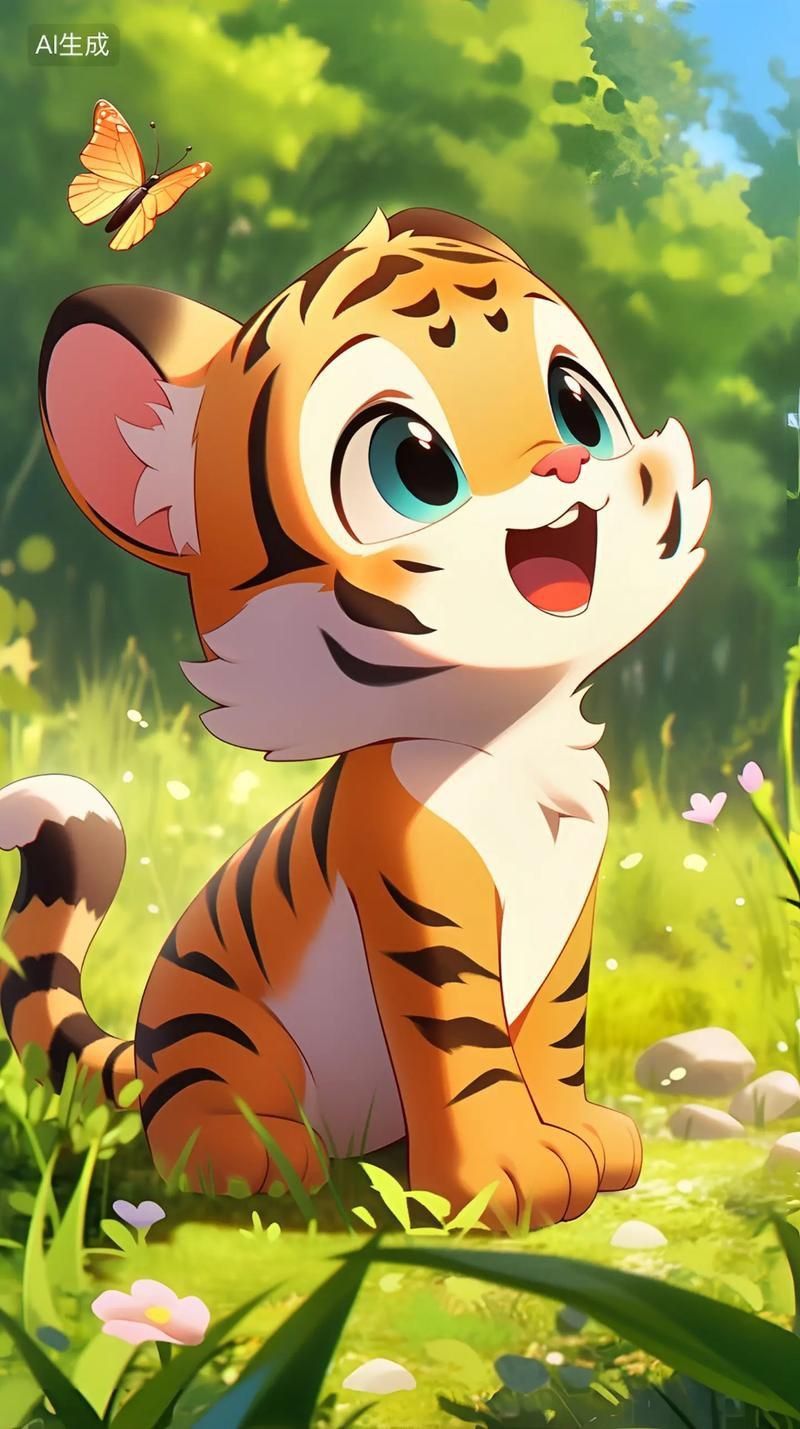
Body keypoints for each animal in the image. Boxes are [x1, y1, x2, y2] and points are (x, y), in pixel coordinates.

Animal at [0, 207, 711, 1229]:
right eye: (411, 465)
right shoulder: (427, 901)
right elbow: (470, 1050)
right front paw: (509, 1177)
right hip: (224, 1036)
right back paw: (251, 1156)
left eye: (579, 404)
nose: (567, 460)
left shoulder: (573, 905)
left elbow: (555, 1030)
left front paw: (583, 1136)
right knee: (197, 1124)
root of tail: (147, 1048)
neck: (512, 741)